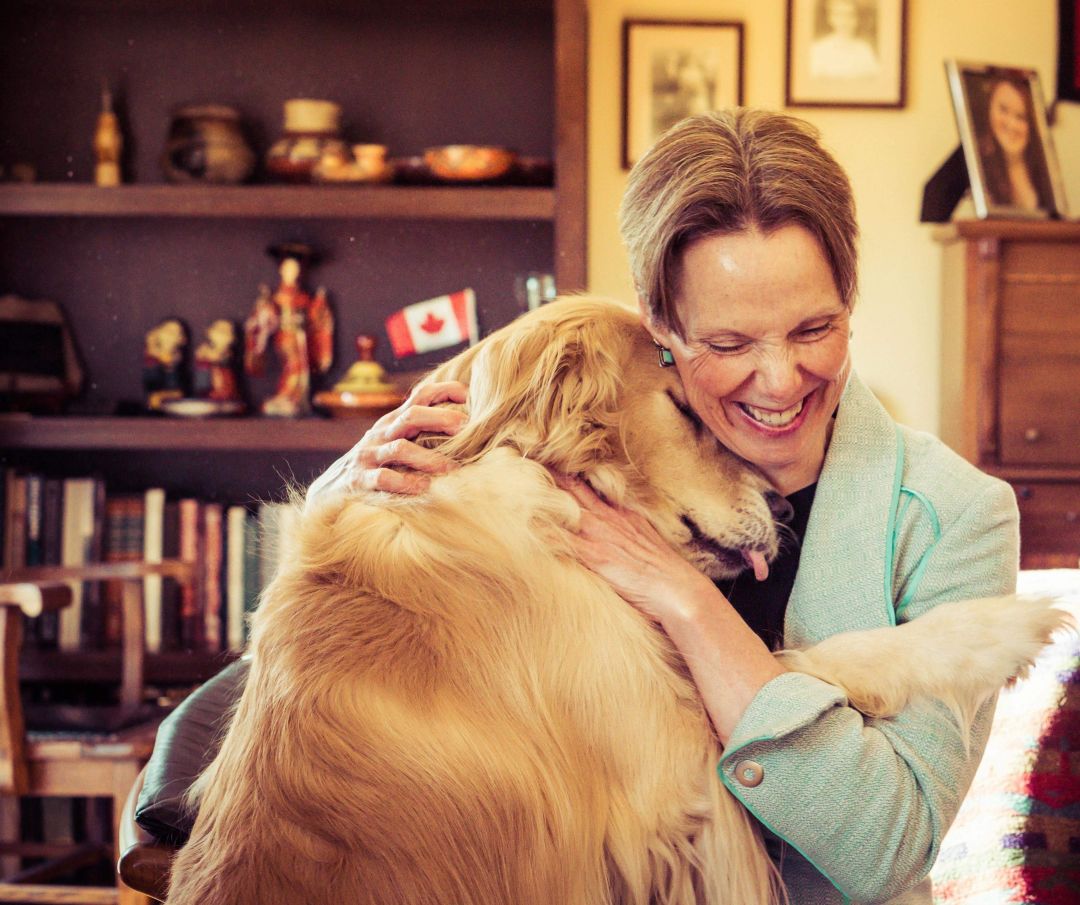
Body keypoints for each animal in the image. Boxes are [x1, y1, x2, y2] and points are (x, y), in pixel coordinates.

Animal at [164, 298, 1067, 905]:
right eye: (685, 408)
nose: (783, 509)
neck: (528, 487)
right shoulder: (676, 781)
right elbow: (808, 662)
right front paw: (1001, 627)